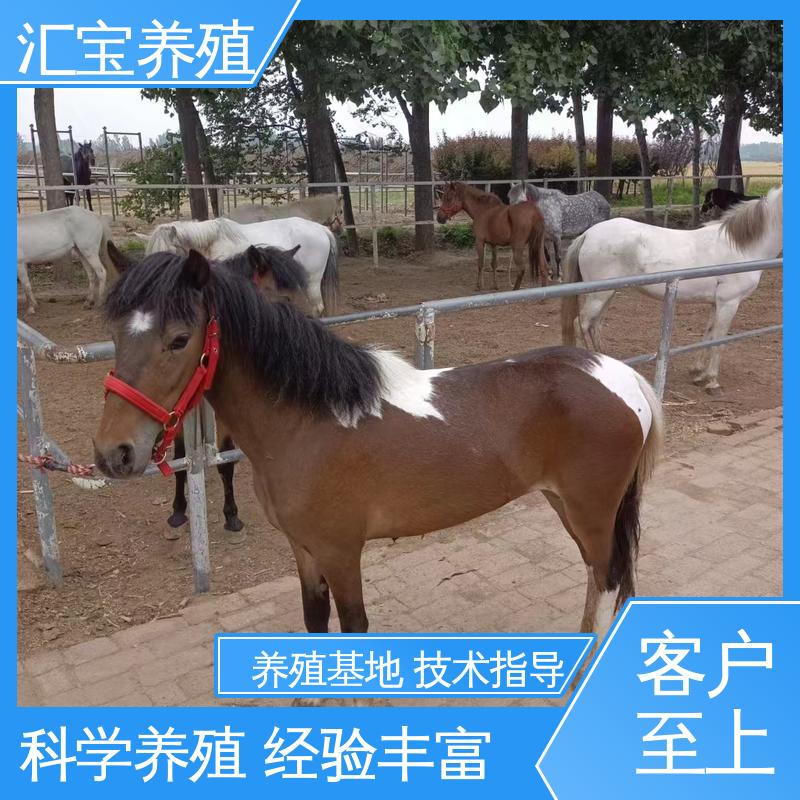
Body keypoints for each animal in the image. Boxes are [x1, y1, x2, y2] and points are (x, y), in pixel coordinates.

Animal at [105, 242, 312, 537]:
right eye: (285, 300)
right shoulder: (177, 416)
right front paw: (178, 510)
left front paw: (232, 515)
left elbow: (225, 462)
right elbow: (181, 461)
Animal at [561, 186, 783, 393]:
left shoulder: (716, 303)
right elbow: (719, 341)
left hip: (608, 293)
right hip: (599, 296)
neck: (741, 248)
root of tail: (588, 234)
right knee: (580, 324)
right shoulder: (729, 303)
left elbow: (708, 335)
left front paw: (698, 373)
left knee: (594, 325)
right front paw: (712, 381)